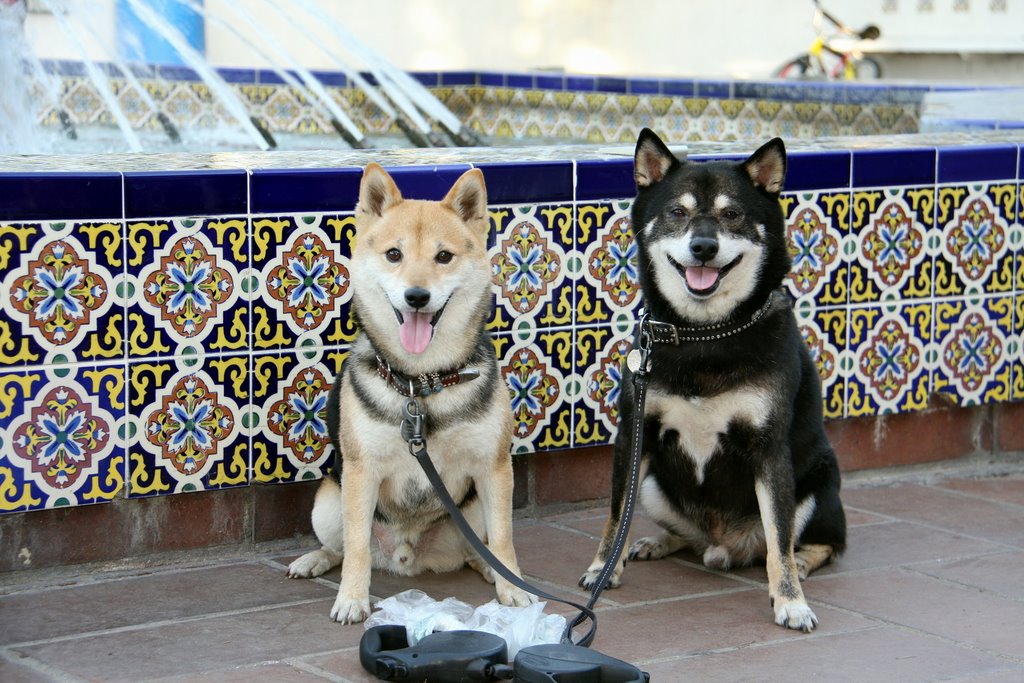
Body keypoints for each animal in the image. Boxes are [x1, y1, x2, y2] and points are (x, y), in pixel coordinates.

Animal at [284, 163, 532, 626]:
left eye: (444, 257)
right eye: (394, 255)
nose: (417, 296)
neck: (423, 382)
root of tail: (407, 557)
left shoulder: (493, 467)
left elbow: (505, 538)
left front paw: (513, 585)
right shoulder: (360, 473)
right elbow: (357, 549)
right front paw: (352, 599)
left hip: (472, 511)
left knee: (479, 548)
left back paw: (490, 569)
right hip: (327, 502)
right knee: (340, 546)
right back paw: (314, 560)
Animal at [581, 127, 843, 630]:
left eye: (732, 214)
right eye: (678, 212)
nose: (703, 246)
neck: (704, 333)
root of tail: (726, 547)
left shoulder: (769, 451)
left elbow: (780, 538)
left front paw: (791, 601)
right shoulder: (635, 434)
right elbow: (615, 514)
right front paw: (604, 568)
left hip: (819, 484)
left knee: (818, 544)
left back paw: (803, 563)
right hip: (654, 484)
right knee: (684, 534)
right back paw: (658, 542)